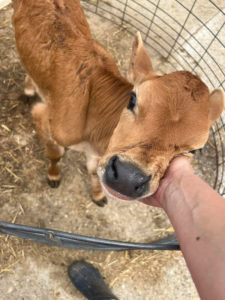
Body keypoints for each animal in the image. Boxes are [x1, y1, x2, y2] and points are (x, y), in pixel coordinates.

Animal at [12, 0, 225, 206]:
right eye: (132, 99)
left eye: (194, 150)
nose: (127, 177)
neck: (93, 138)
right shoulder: (43, 117)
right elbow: (55, 153)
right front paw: (54, 176)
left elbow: (93, 172)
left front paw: (98, 195)